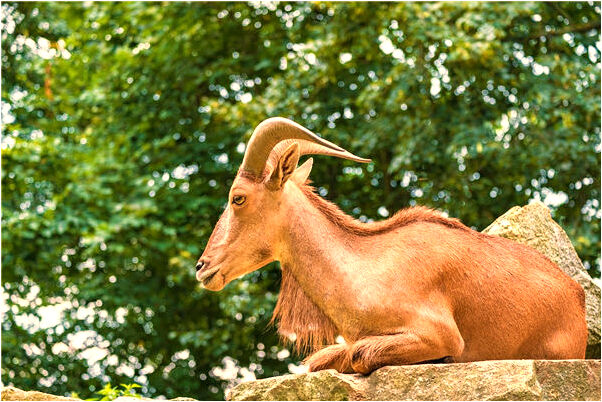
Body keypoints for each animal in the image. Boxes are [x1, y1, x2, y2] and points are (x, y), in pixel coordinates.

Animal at [197, 118, 584, 376]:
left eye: (238, 198)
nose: (203, 267)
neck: (362, 270)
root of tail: (576, 295)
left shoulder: (438, 333)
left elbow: (357, 355)